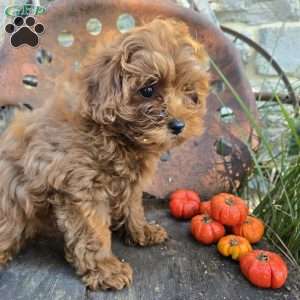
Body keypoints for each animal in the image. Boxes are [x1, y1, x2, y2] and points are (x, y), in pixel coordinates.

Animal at [0, 18, 209, 288]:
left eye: (187, 89)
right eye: (148, 90)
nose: (179, 125)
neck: (113, 133)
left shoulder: (130, 182)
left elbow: (133, 206)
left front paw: (142, 231)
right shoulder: (80, 189)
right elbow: (94, 232)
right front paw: (107, 270)